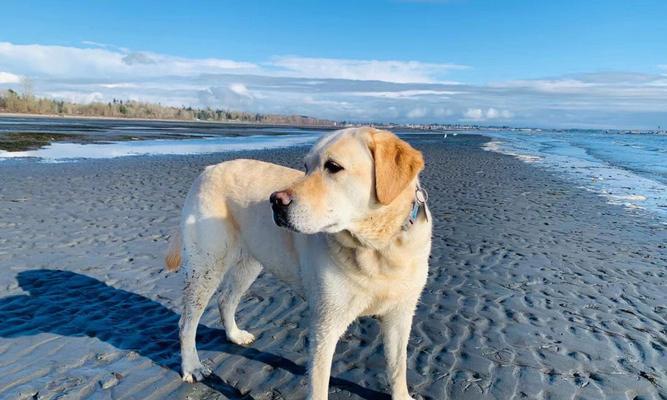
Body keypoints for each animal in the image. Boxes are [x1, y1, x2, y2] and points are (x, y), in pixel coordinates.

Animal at [164, 126, 430, 398]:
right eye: (305, 166)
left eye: (333, 166)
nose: (275, 201)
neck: (378, 248)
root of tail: (207, 169)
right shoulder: (326, 323)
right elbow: (319, 384)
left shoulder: (401, 315)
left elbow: (398, 366)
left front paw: (402, 395)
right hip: (205, 266)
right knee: (186, 323)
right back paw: (192, 366)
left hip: (249, 263)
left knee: (225, 300)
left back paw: (234, 335)